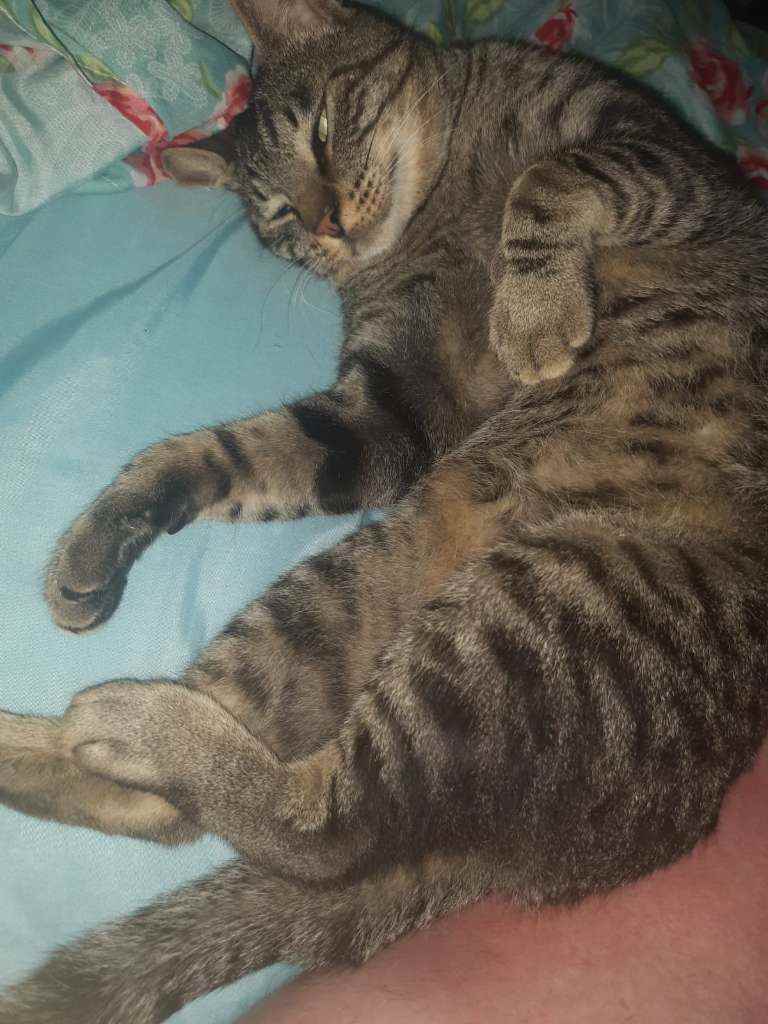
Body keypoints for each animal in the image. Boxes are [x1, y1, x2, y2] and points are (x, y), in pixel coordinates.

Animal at [2, 0, 768, 1020]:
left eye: (324, 132)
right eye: (281, 215)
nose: (328, 220)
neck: (443, 202)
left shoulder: (657, 150)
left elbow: (557, 175)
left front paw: (532, 312)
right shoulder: (387, 415)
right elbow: (230, 451)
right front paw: (112, 522)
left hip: (543, 612)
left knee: (327, 831)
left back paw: (126, 724)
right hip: (380, 598)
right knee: (243, 814)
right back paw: (80, 731)